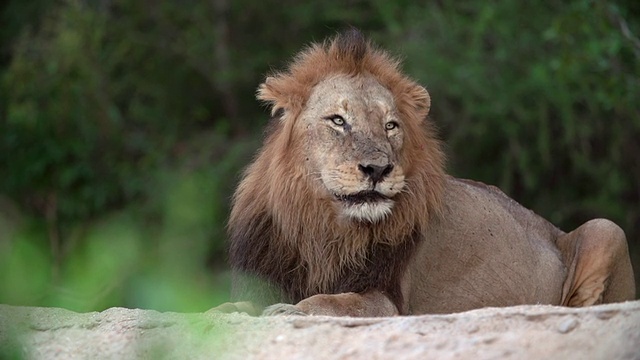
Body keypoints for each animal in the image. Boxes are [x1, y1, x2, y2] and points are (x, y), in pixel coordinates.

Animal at [219, 29, 636, 316]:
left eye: (391, 126)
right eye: (337, 120)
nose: (377, 168)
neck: (323, 227)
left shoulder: (386, 299)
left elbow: (331, 301)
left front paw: (291, 309)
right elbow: (228, 309)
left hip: (606, 228)